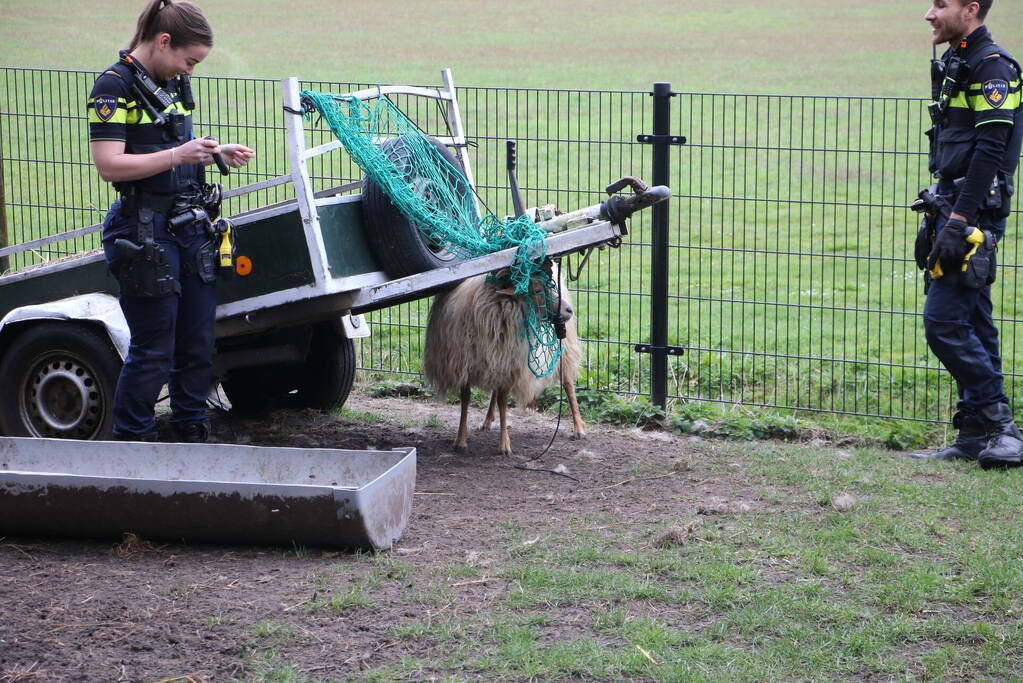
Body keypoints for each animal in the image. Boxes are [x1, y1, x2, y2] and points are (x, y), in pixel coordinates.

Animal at [421, 258, 585, 456]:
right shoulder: (468, 364)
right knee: (494, 390)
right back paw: (487, 420)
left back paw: (578, 428)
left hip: (563, 349)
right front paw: (460, 440)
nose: (569, 310)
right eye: (537, 290)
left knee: (568, 384)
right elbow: (466, 400)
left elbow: (503, 402)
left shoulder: (509, 366)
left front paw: (504, 444)